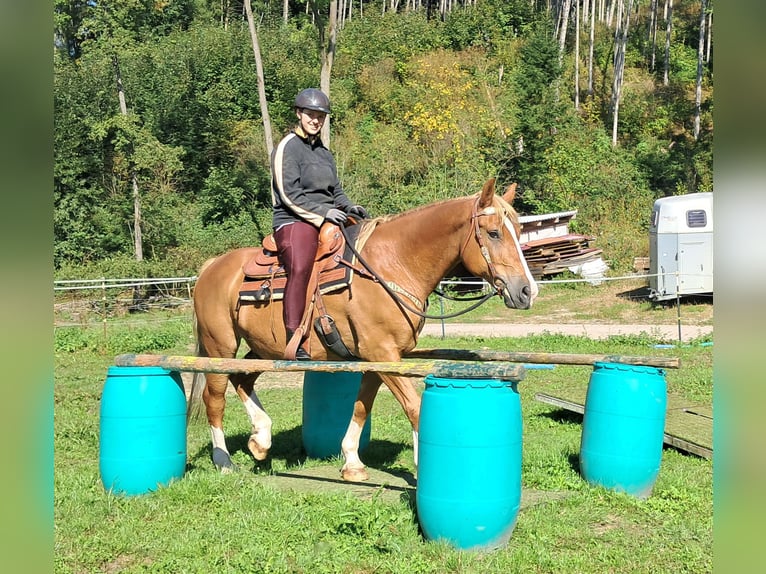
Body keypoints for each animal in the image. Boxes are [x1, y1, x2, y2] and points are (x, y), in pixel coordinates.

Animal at [191, 178, 540, 484]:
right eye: (493, 233)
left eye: (519, 230)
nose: (527, 291)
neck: (392, 266)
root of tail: (212, 266)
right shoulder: (383, 353)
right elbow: (415, 407)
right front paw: (423, 467)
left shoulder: (379, 358)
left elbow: (361, 406)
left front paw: (352, 463)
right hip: (220, 346)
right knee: (215, 398)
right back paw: (224, 460)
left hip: (264, 349)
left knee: (242, 379)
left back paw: (261, 440)